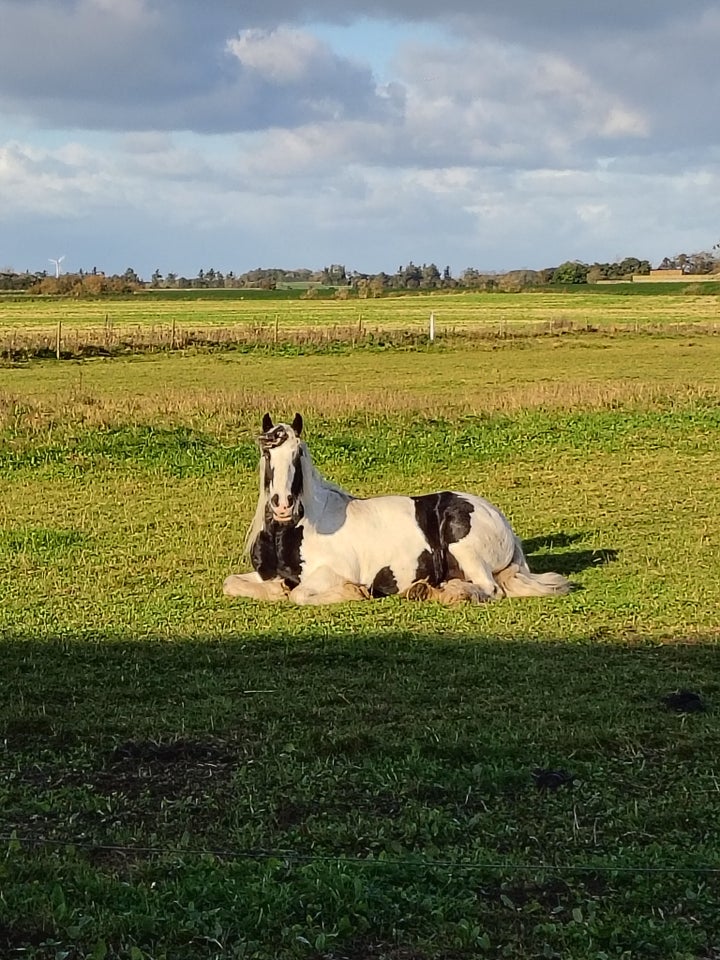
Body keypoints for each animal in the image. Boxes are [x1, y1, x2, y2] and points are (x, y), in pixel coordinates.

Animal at [222, 414, 572, 608]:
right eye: (267, 455)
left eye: (298, 454)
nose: (282, 505)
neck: (295, 532)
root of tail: (501, 521)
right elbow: (232, 583)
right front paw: (276, 589)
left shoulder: (330, 573)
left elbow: (301, 595)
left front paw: (356, 593)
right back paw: (425, 590)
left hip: (466, 550)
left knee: (491, 589)